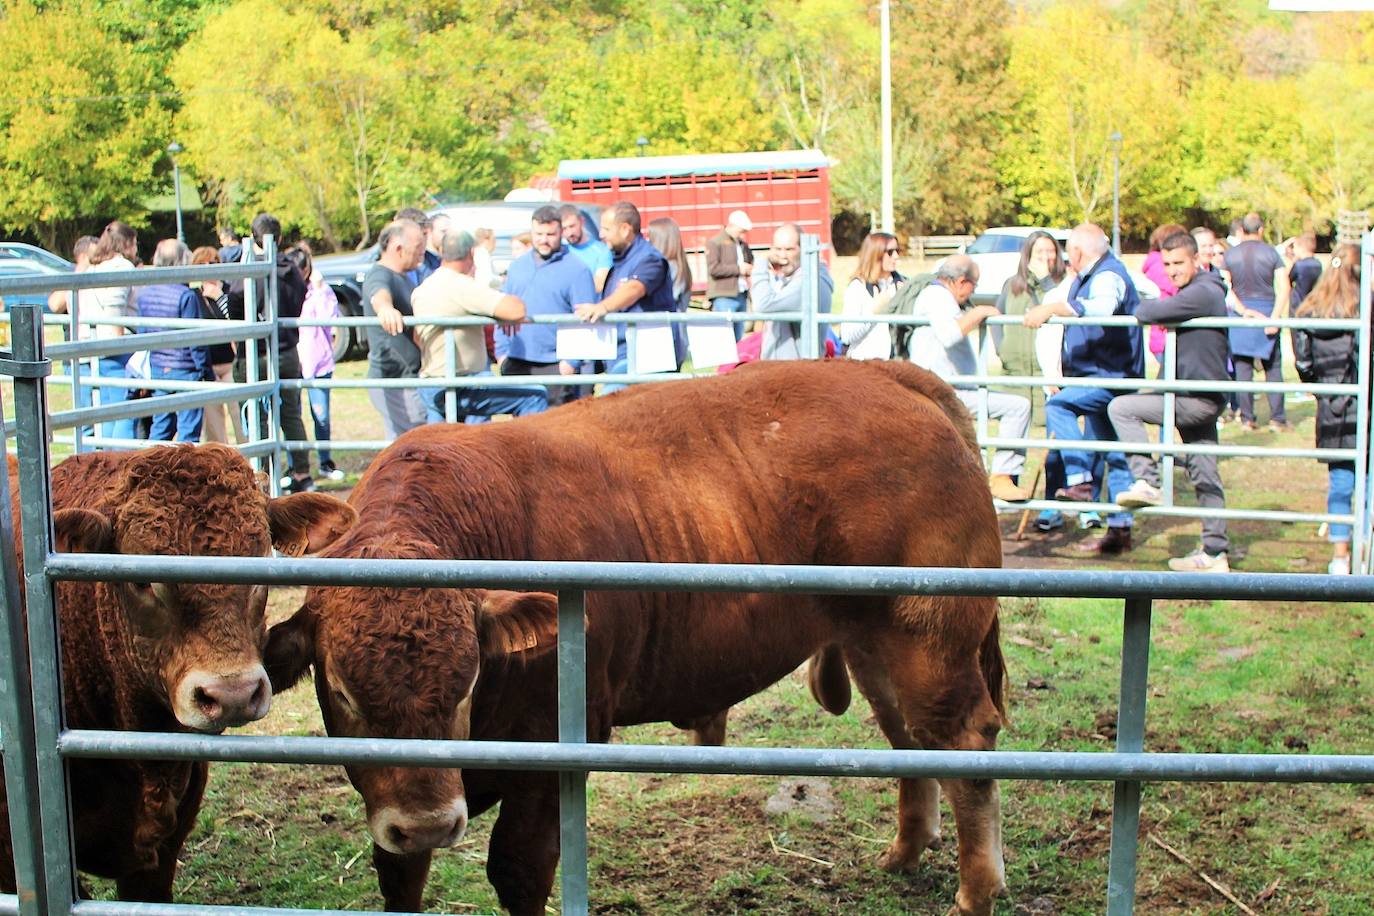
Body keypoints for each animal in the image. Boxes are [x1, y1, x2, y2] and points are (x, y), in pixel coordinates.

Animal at [265, 362, 1011, 911]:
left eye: (468, 678)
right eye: (341, 690)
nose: (427, 823)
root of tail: (884, 374)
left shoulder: (558, 741)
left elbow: (520, 868)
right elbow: (400, 872)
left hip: (930, 640)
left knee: (964, 743)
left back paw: (975, 893)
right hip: (875, 644)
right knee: (910, 738)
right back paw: (905, 852)